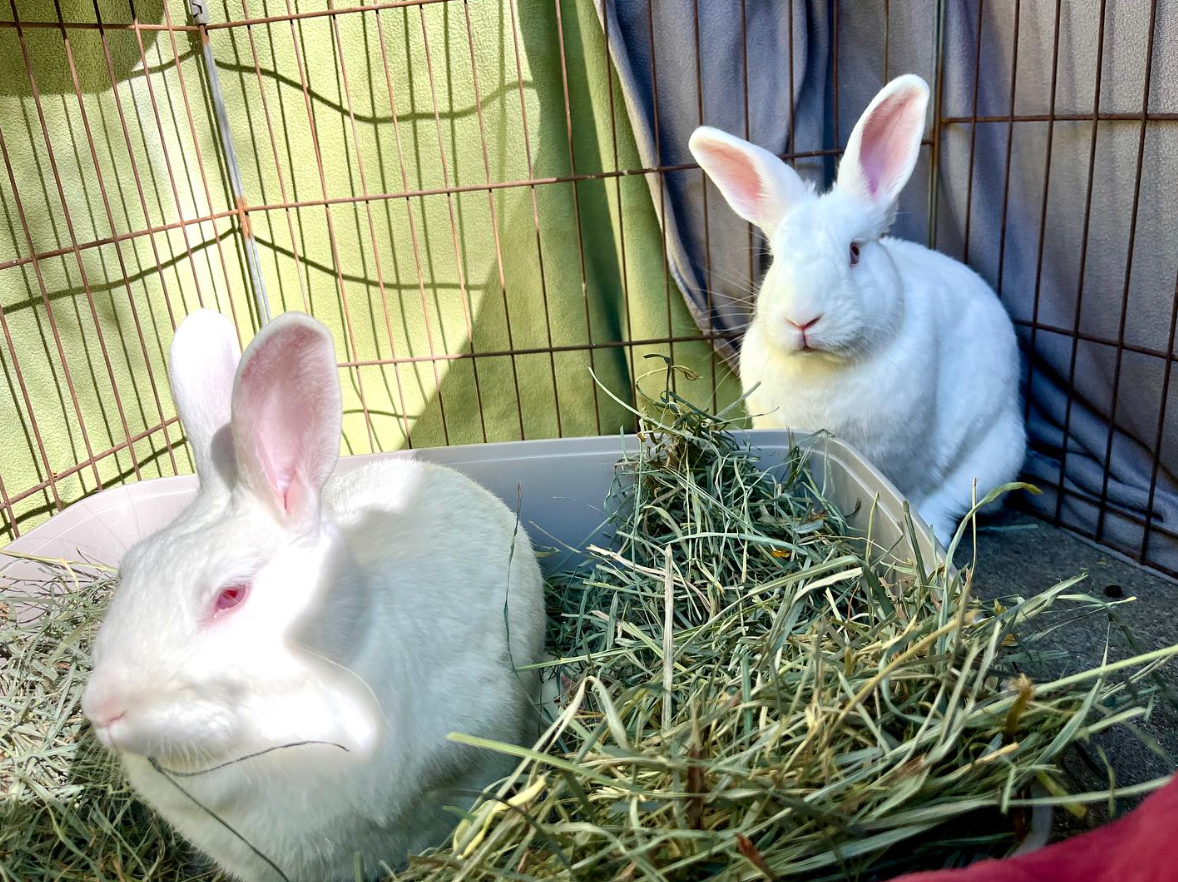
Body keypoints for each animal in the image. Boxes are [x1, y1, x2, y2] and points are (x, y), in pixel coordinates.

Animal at [689, 74, 1026, 547]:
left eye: (853, 252)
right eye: (773, 258)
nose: (803, 319)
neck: (821, 370)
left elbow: (910, 492)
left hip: (995, 455)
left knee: (952, 499)